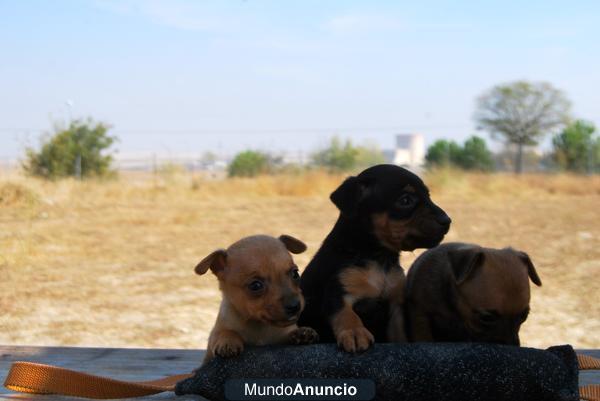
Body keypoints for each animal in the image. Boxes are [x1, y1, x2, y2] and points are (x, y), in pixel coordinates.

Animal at [196, 233, 318, 364]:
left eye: (295, 274)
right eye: (255, 285)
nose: (295, 305)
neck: (258, 326)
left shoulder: (281, 335)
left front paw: (301, 333)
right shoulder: (214, 338)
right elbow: (225, 332)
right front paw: (227, 340)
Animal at [298, 164, 450, 352]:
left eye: (428, 196)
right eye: (406, 200)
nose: (447, 220)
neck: (379, 257)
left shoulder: (395, 306)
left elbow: (399, 334)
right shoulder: (338, 293)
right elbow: (347, 315)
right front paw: (355, 333)